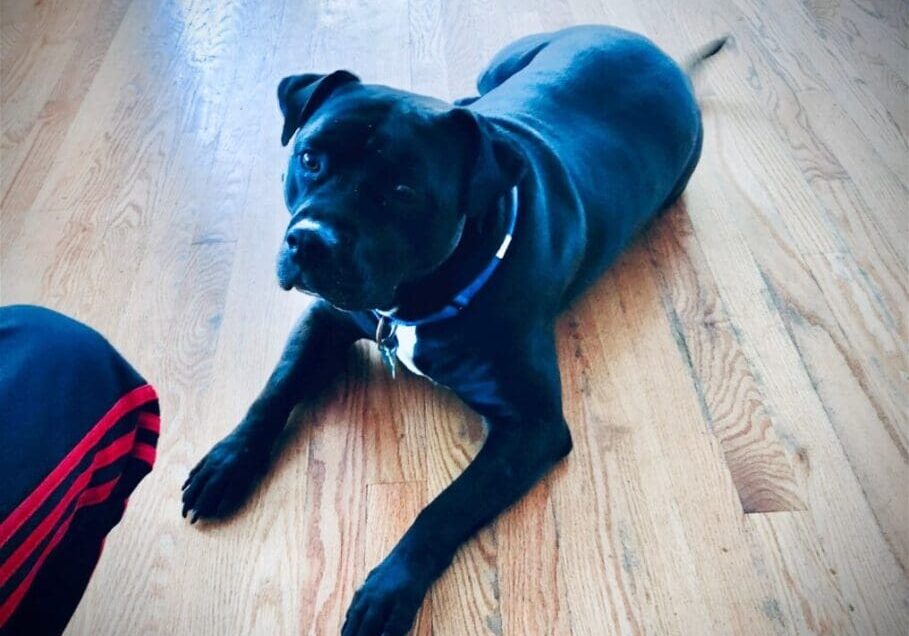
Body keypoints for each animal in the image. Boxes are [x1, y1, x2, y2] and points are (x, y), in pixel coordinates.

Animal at [183, 24, 724, 636]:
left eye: (402, 191)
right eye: (310, 158)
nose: (310, 240)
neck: (415, 301)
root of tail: (654, 48)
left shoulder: (532, 427)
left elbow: (445, 506)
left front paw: (389, 588)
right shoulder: (326, 317)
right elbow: (274, 391)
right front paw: (227, 462)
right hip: (498, 69)